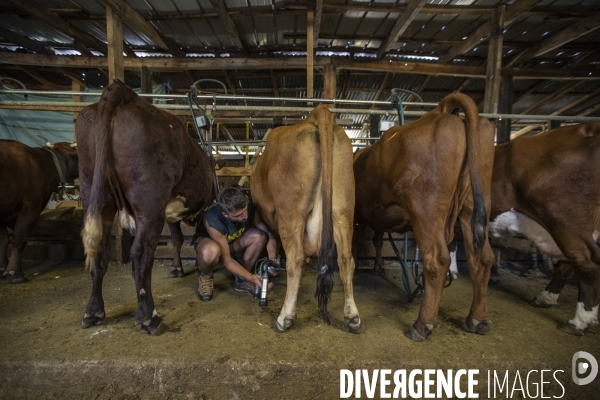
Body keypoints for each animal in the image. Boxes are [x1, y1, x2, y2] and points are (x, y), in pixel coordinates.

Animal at [0, 139, 78, 282]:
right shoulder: (30, 208)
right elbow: (19, 238)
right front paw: (14, 273)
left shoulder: (5, 212)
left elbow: (3, 240)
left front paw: (3, 268)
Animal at [76, 80, 214, 334]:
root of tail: (125, 94)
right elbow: (191, 239)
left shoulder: (171, 213)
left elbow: (177, 239)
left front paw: (178, 268)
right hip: (150, 203)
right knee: (141, 255)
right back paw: (149, 317)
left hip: (95, 192)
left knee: (100, 250)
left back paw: (94, 311)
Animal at [250, 104, 360, 332]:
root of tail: (316, 113)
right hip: (343, 209)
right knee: (346, 258)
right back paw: (352, 317)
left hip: (291, 214)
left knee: (296, 260)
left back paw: (285, 318)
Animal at [354, 93, 494, 340]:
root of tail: (443, 112)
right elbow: (378, 239)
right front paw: (379, 266)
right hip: (474, 207)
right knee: (482, 257)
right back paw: (478, 319)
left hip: (426, 212)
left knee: (437, 261)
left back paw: (422, 324)